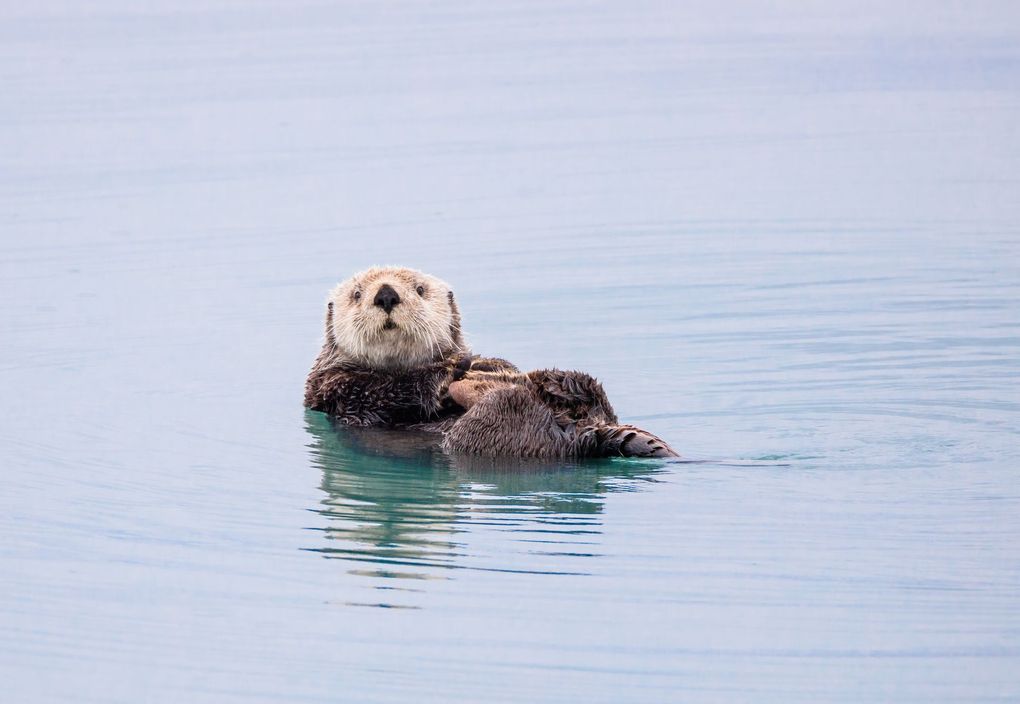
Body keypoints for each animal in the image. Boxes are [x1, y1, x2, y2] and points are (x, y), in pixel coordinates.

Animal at [305, 267, 677, 459]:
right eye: (356, 295)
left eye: (420, 289)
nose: (385, 294)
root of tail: (584, 434)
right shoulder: (335, 389)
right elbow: (385, 389)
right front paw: (451, 371)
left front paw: (489, 365)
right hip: (488, 435)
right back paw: (480, 388)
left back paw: (552, 381)